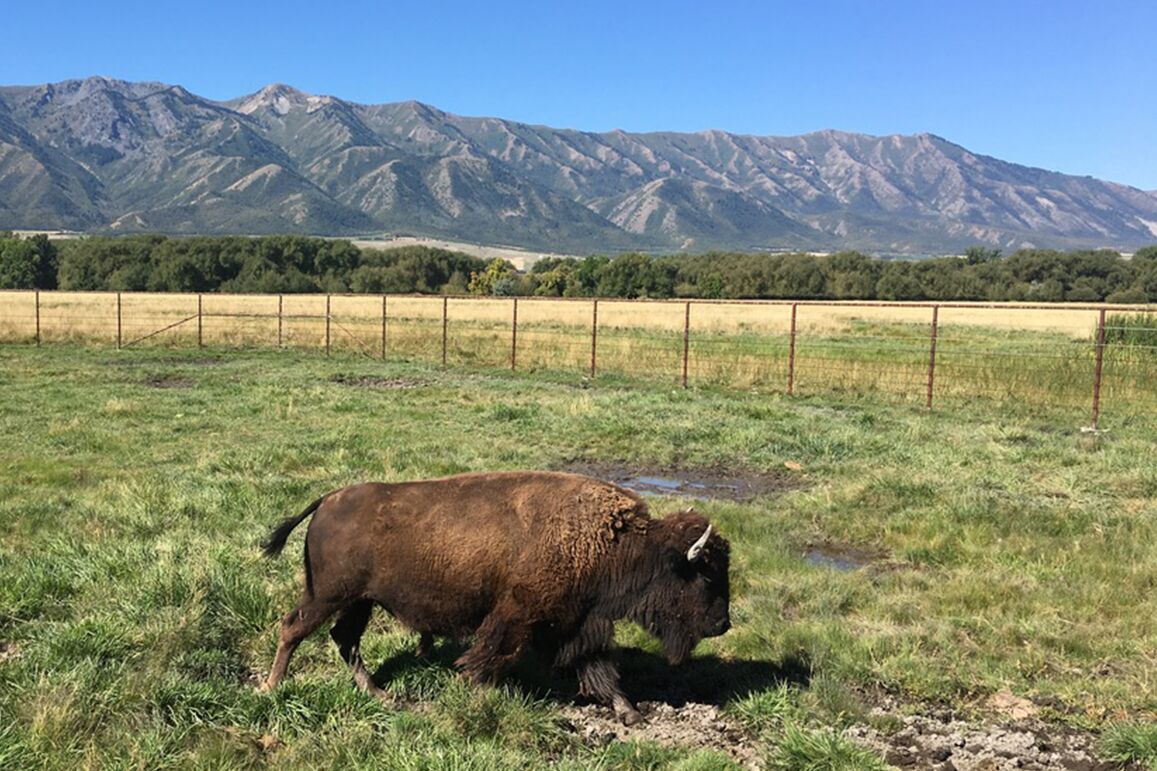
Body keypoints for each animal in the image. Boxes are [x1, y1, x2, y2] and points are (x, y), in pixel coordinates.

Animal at [263, 465, 731, 722]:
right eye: (706, 576)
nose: (723, 623)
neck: (615, 541)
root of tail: (327, 500)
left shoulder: (579, 623)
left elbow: (598, 669)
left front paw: (630, 713)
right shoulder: (517, 616)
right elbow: (491, 656)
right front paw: (474, 692)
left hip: (359, 602)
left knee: (344, 639)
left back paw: (382, 694)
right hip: (328, 596)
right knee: (293, 628)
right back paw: (271, 688)